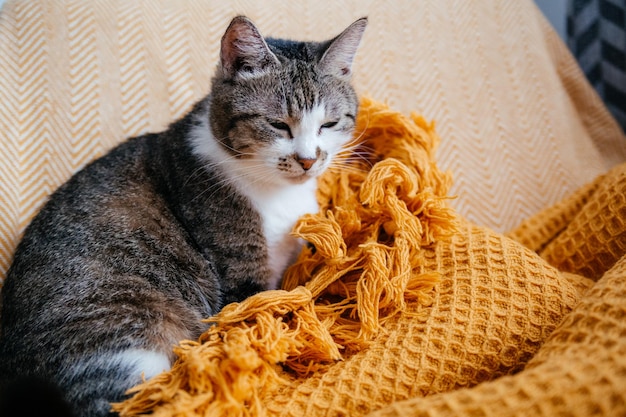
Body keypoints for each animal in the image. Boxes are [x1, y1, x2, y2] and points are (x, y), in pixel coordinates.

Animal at [0, 15, 366, 416]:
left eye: (328, 124)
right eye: (278, 124)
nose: (307, 160)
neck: (276, 190)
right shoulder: (241, 272)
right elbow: (263, 313)